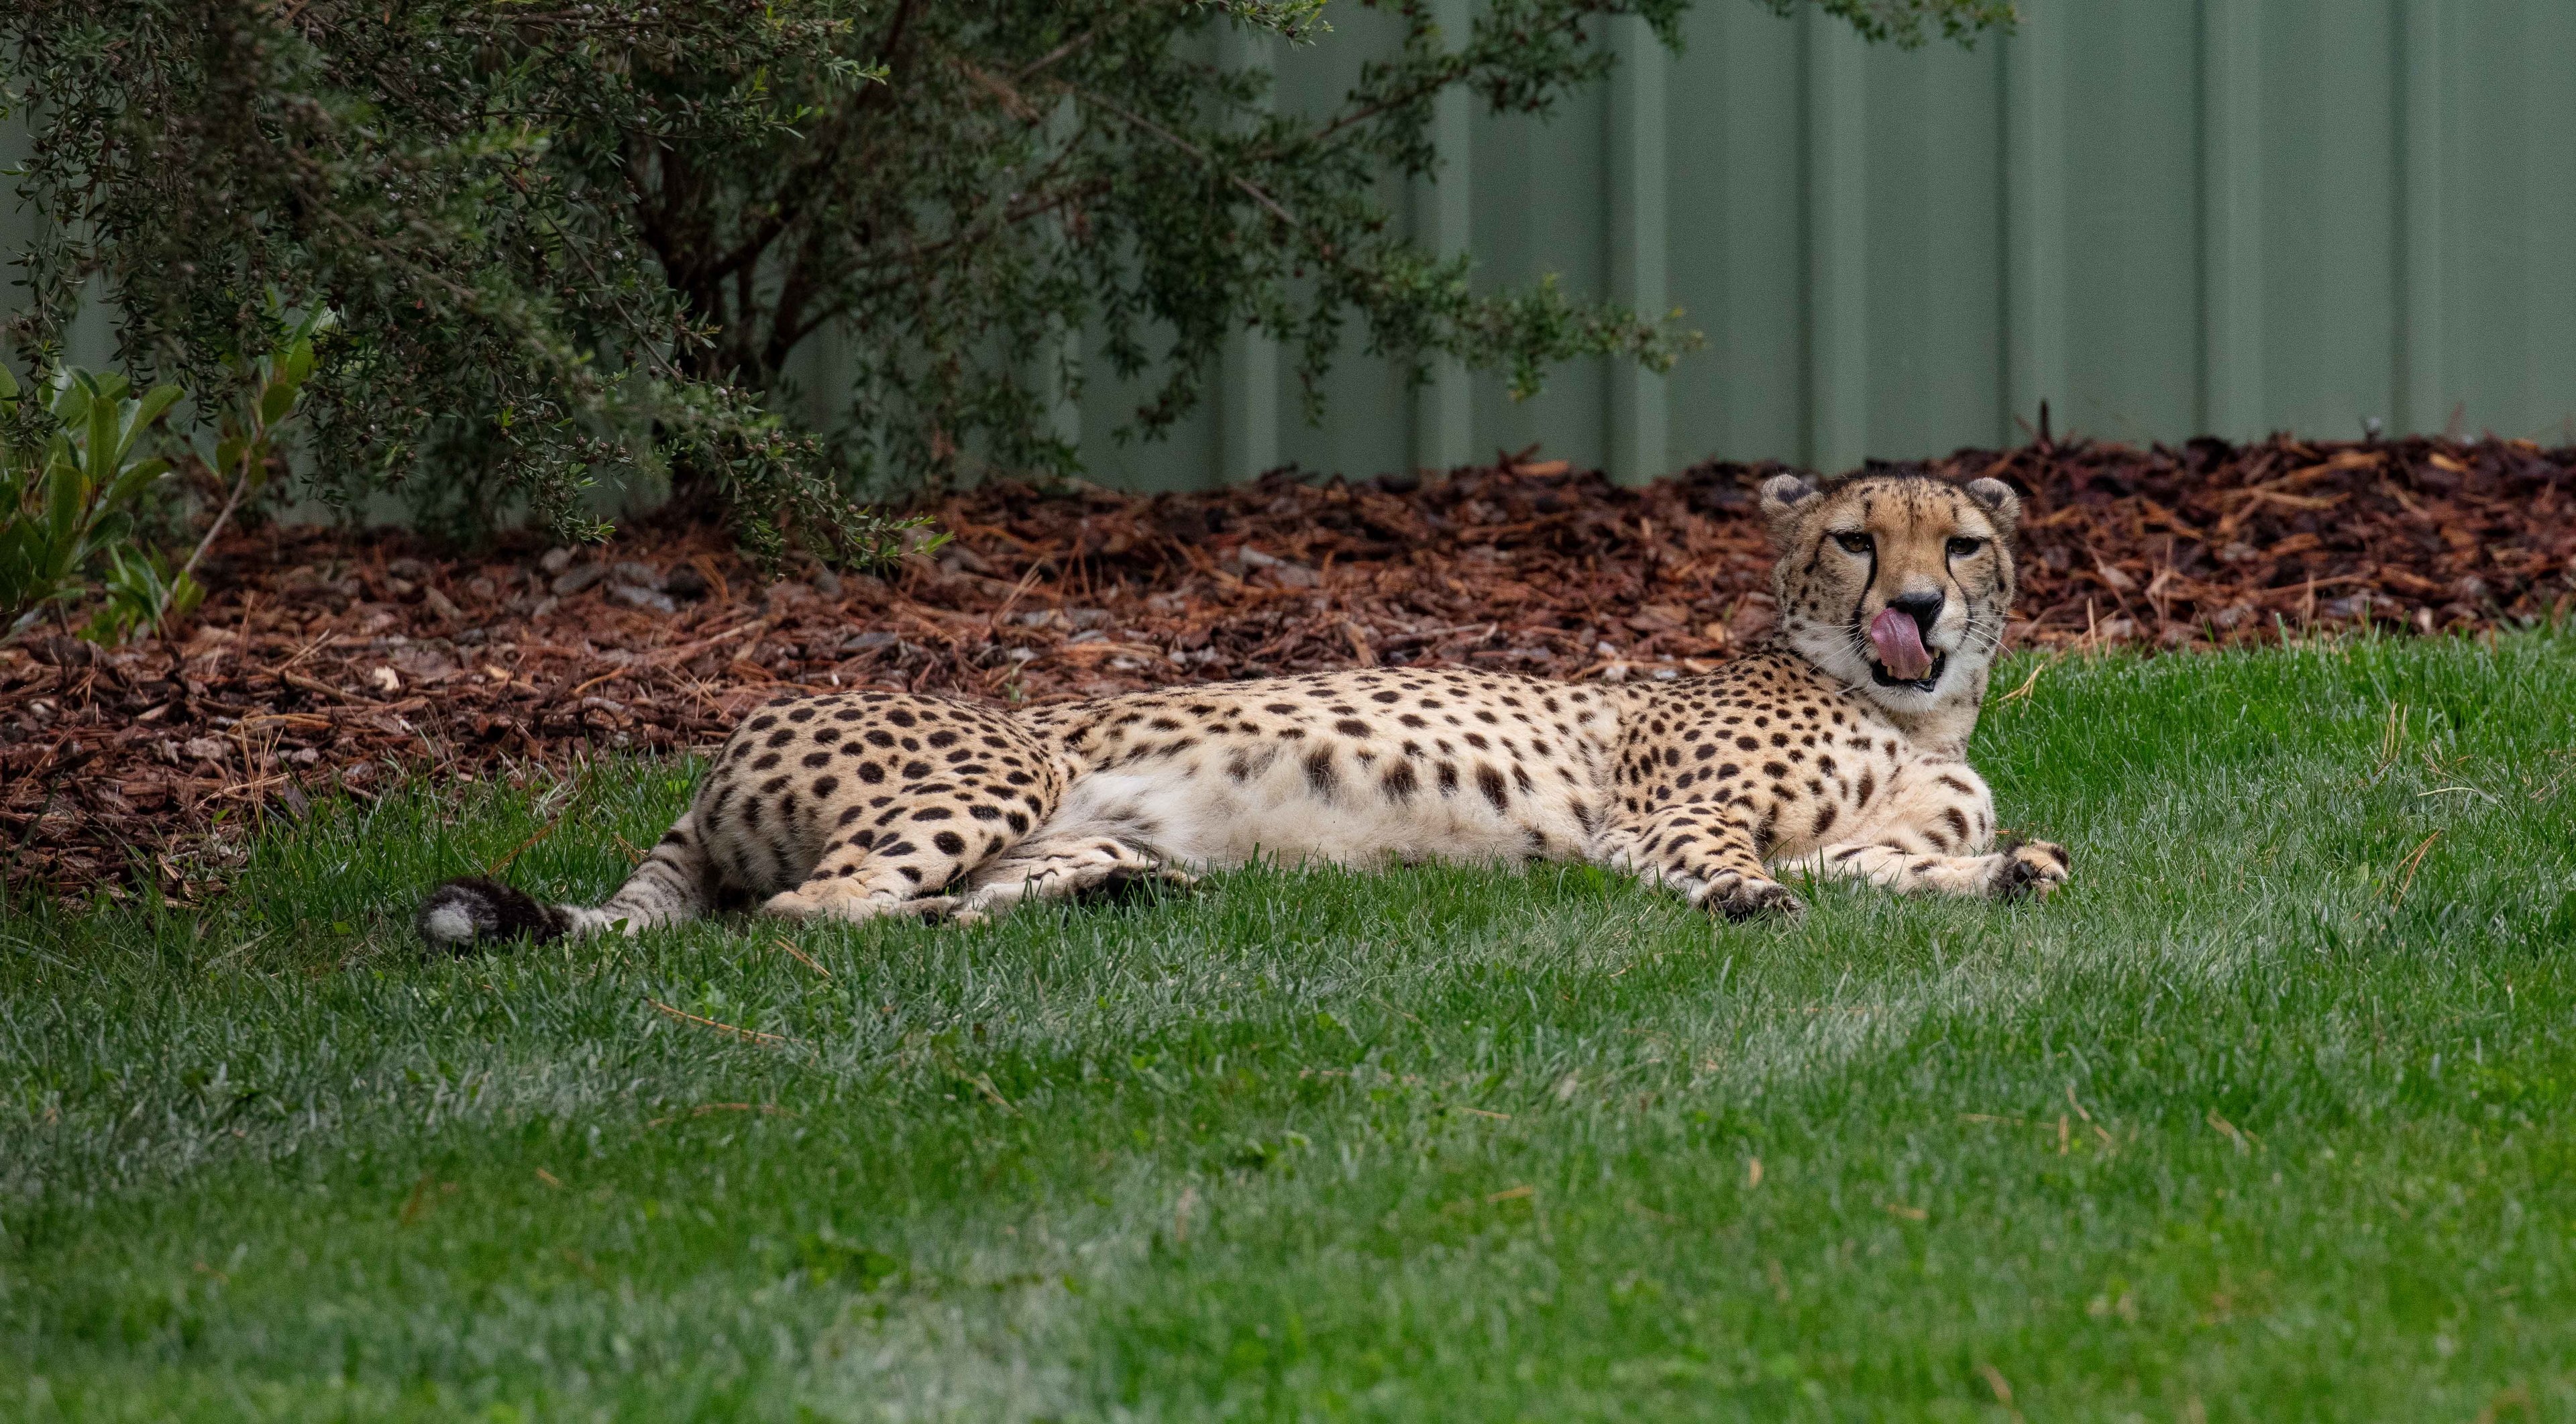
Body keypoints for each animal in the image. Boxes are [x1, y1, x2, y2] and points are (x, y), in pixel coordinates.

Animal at [416, 469, 2070, 950]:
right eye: (1855, 538)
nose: (1916, 609)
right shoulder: (1663, 813)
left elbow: (1913, 866)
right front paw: (1740, 896)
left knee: (943, 904)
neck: (1910, 715)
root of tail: (721, 746)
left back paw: (1119, 897)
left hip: (1054, 831)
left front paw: (2014, 868)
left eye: (1960, 544)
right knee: (810, 914)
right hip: (998, 765)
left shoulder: (1874, 841)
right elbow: (1729, 856)